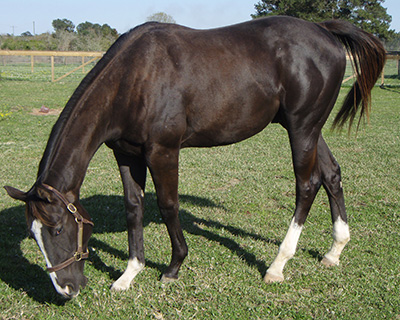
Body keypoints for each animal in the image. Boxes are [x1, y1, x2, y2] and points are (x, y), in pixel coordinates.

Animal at [3, 16, 384, 298]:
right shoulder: (126, 154)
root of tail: (324, 31)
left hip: (302, 128)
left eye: (56, 229)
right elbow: (133, 207)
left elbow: (168, 205)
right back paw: (334, 251)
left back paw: (277, 265)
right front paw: (129, 273)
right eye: (33, 235)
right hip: (310, 129)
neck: (134, 77)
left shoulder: (162, 152)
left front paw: (173, 267)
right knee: (331, 175)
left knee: (307, 185)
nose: (67, 288)